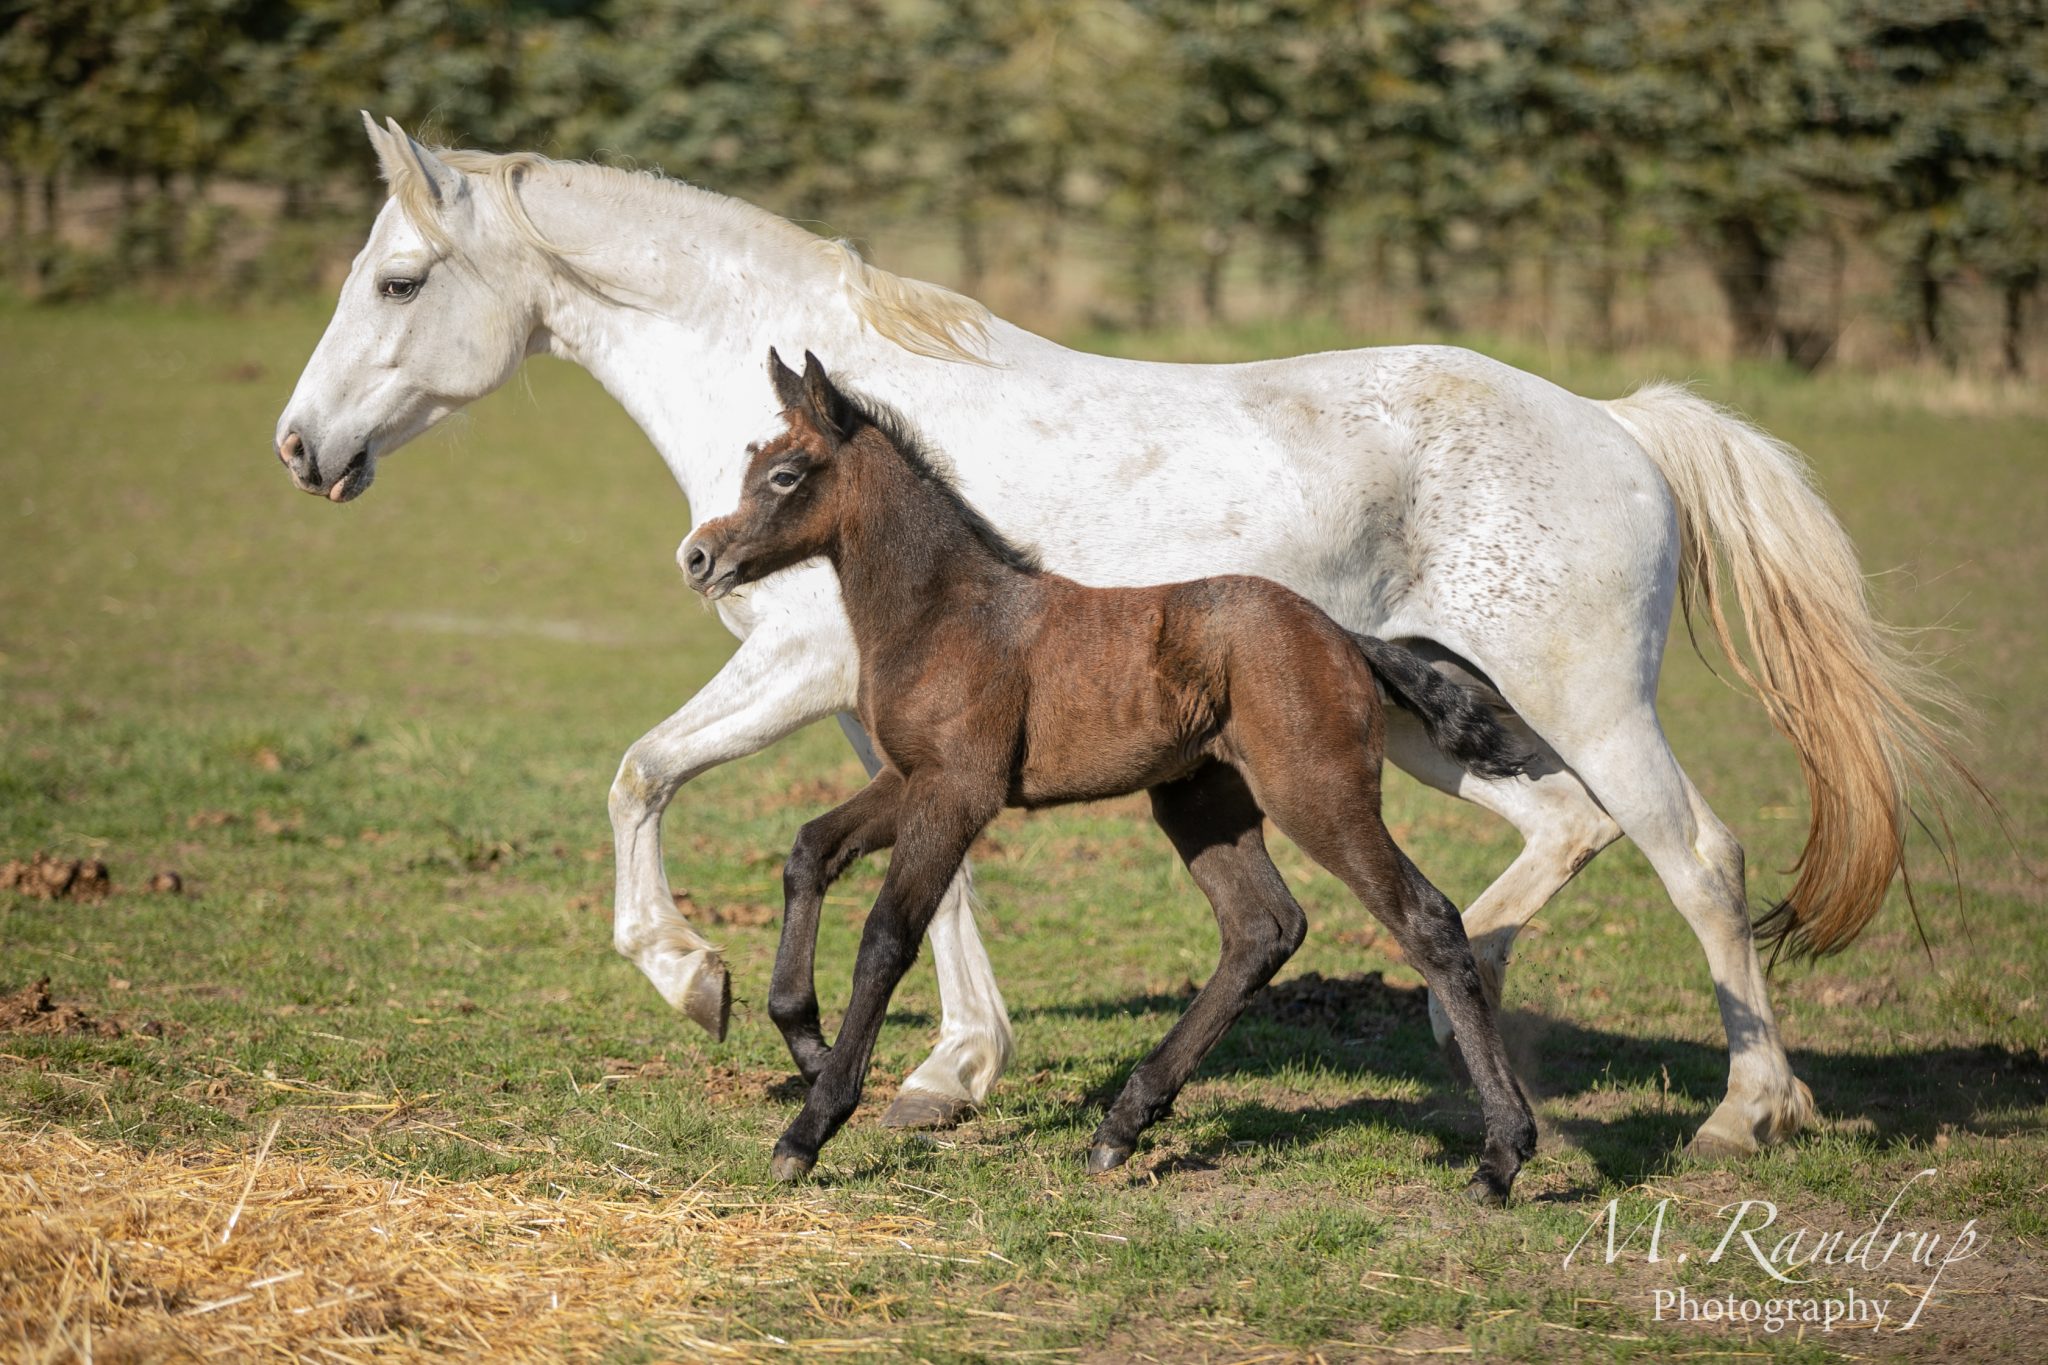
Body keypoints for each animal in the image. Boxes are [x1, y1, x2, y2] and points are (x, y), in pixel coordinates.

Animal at [684, 356, 1540, 1203]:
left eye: (785, 475)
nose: (697, 558)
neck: (946, 614)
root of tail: (1344, 636)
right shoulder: (909, 778)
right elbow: (809, 850)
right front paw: (806, 1040)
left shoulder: (957, 790)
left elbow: (887, 935)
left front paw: (811, 1125)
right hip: (1201, 802)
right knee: (1262, 928)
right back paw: (1121, 1126)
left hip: (1316, 793)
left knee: (1426, 919)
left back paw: (1502, 1154)